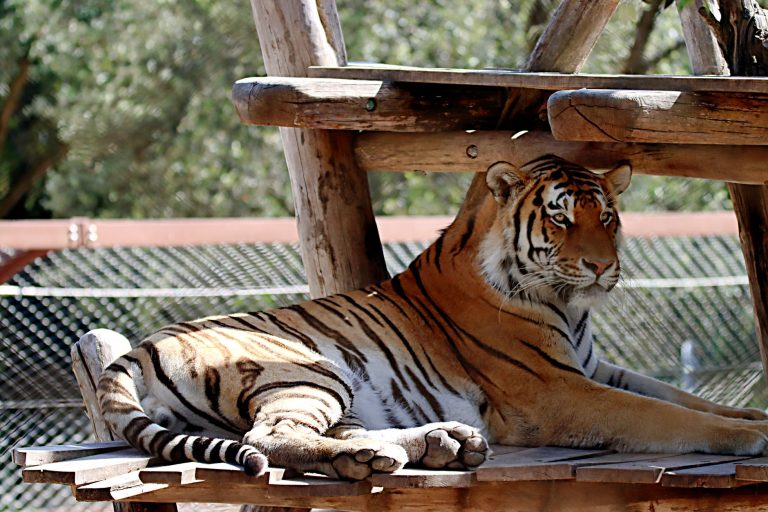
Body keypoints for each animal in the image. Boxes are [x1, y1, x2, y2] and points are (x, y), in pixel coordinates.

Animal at [97, 155, 768, 481]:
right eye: (559, 218)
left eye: (606, 216)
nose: (604, 267)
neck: (565, 302)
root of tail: (140, 346)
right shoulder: (556, 390)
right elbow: (668, 415)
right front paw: (752, 436)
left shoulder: (595, 368)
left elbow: (688, 398)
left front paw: (754, 415)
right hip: (307, 368)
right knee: (272, 437)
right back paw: (385, 459)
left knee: (333, 432)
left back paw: (437, 444)